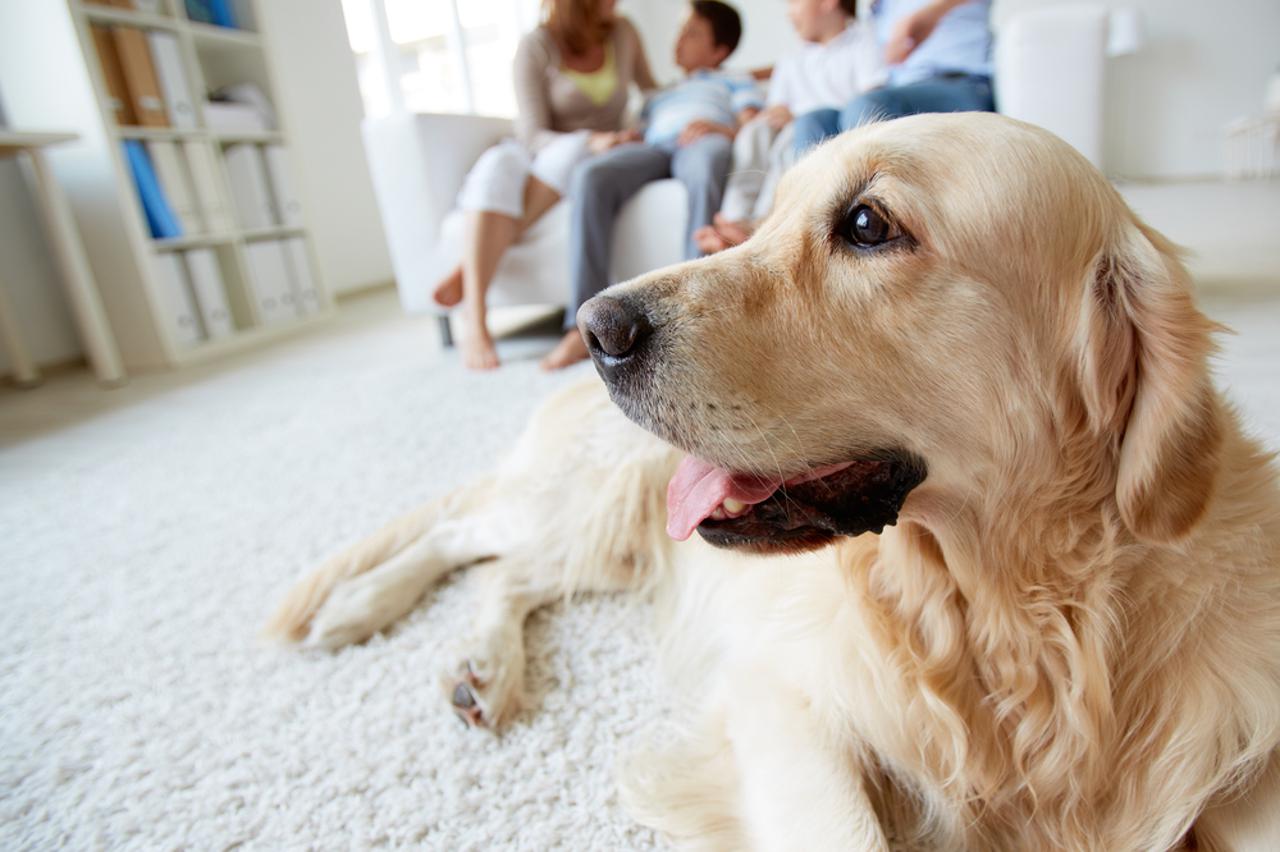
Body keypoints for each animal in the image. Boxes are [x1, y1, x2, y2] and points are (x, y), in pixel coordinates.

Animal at [262, 114, 1280, 849]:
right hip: (599, 503)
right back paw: (362, 610)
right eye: (767, 218)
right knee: (468, 536)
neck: (1009, 618)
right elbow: (845, 825)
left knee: (508, 571)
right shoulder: (782, 699)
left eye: (867, 224)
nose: (593, 327)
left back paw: (478, 666)